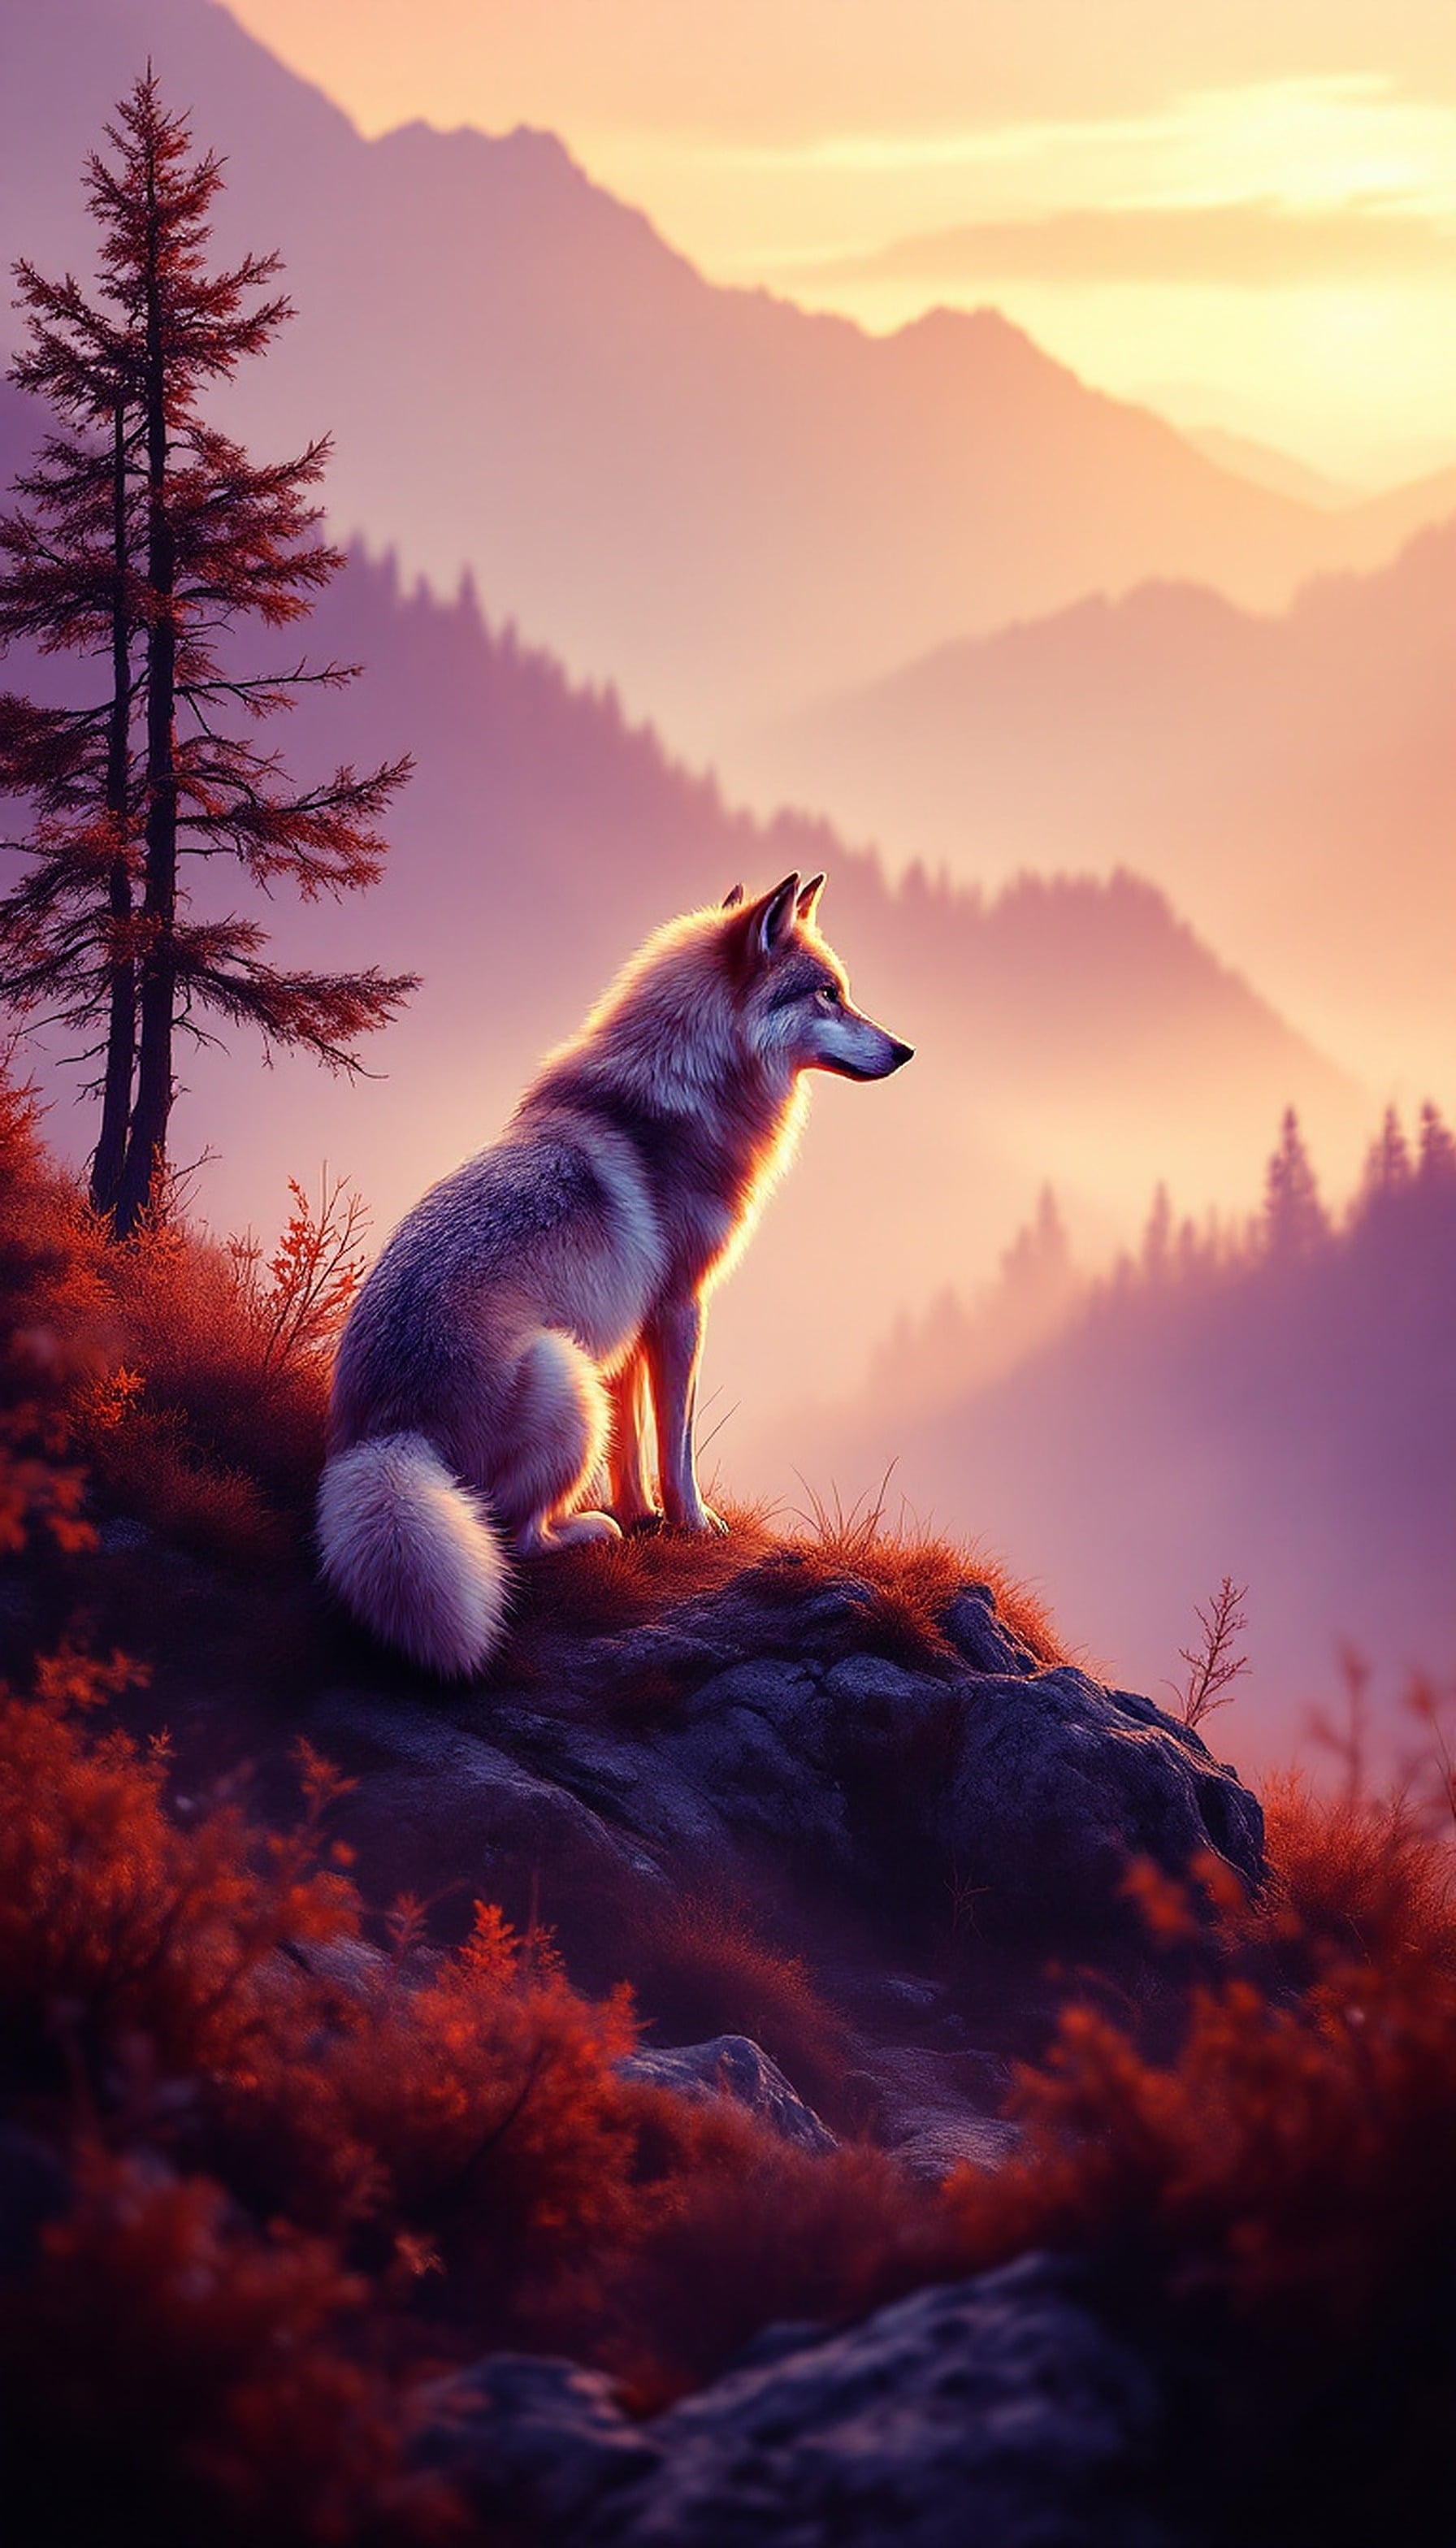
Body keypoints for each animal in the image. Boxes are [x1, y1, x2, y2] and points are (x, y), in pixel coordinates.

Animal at [317, 871, 912, 1677]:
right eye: (828, 995)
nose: (906, 1049)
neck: (686, 1095)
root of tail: (386, 1435)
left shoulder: (631, 1325)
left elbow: (635, 1447)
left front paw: (646, 1513)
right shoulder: (681, 1307)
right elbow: (678, 1441)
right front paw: (695, 1523)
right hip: (567, 1374)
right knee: (515, 1536)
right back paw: (591, 1528)